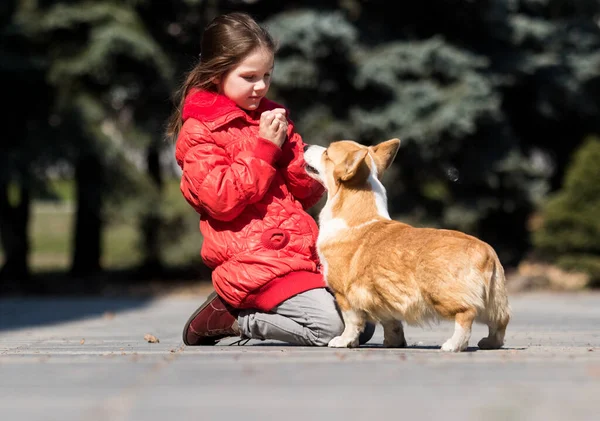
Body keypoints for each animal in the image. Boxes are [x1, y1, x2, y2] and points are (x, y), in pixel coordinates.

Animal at [304, 139, 510, 352]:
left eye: (327, 153)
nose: (304, 146)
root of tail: (486, 252)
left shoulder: (344, 295)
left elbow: (352, 321)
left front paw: (344, 341)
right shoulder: (384, 297)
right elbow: (391, 323)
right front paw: (393, 342)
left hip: (445, 296)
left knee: (466, 314)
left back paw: (453, 345)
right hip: (494, 301)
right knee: (500, 321)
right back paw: (490, 343)